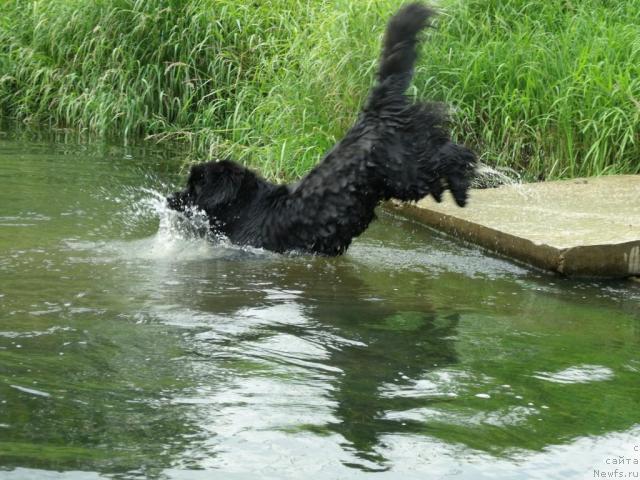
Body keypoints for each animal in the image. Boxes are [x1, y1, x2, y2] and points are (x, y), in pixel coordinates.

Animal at [168, 2, 478, 255]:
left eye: (194, 188)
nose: (172, 198)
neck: (248, 207)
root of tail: (373, 112)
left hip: (405, 171)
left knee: (454, 153)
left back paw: (461, 189)